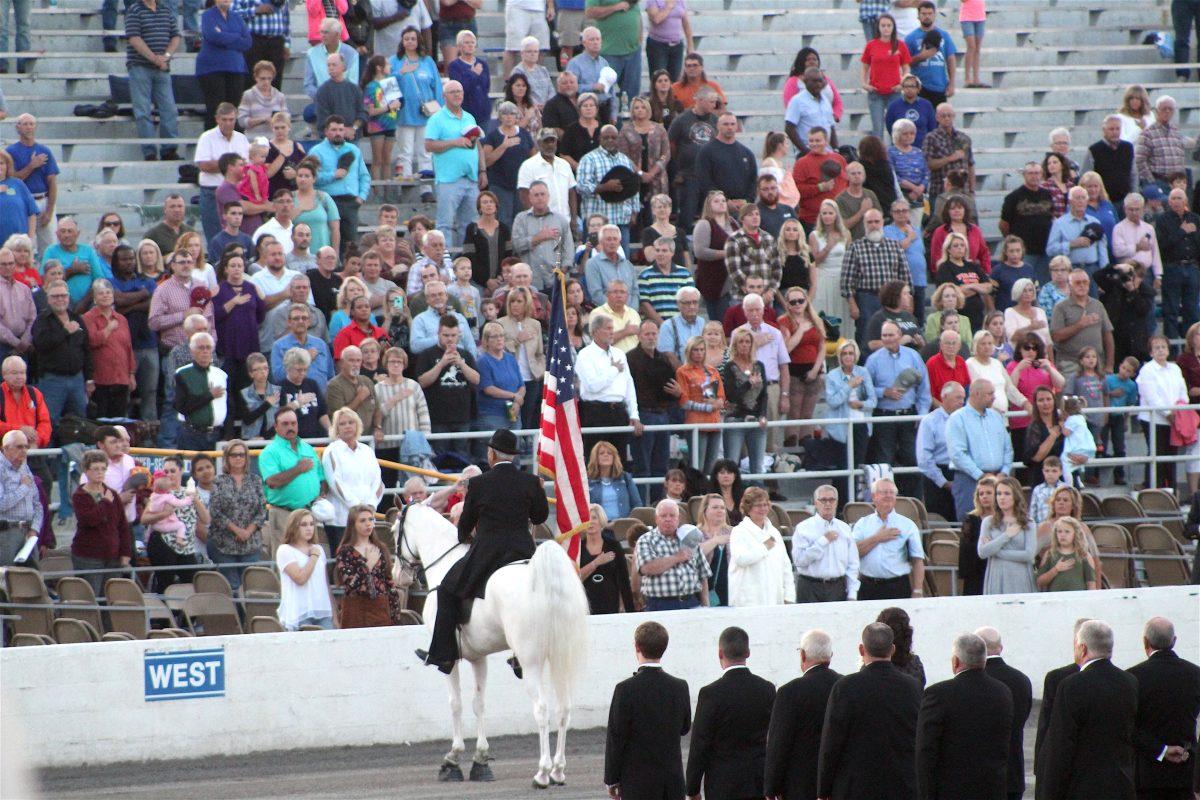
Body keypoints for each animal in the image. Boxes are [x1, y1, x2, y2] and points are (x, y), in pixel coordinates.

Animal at [393, 503, 590, 791]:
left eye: (394, 530)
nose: (398, 576)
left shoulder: (449, 658)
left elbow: (456, 703)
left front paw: (452, 759)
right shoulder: (478, 657)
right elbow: (479, 703)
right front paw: (481, 759)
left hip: (531, 662)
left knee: (542, 710)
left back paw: (542, 773)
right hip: (558, 657)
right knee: (564, 708)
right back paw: (558, 771)